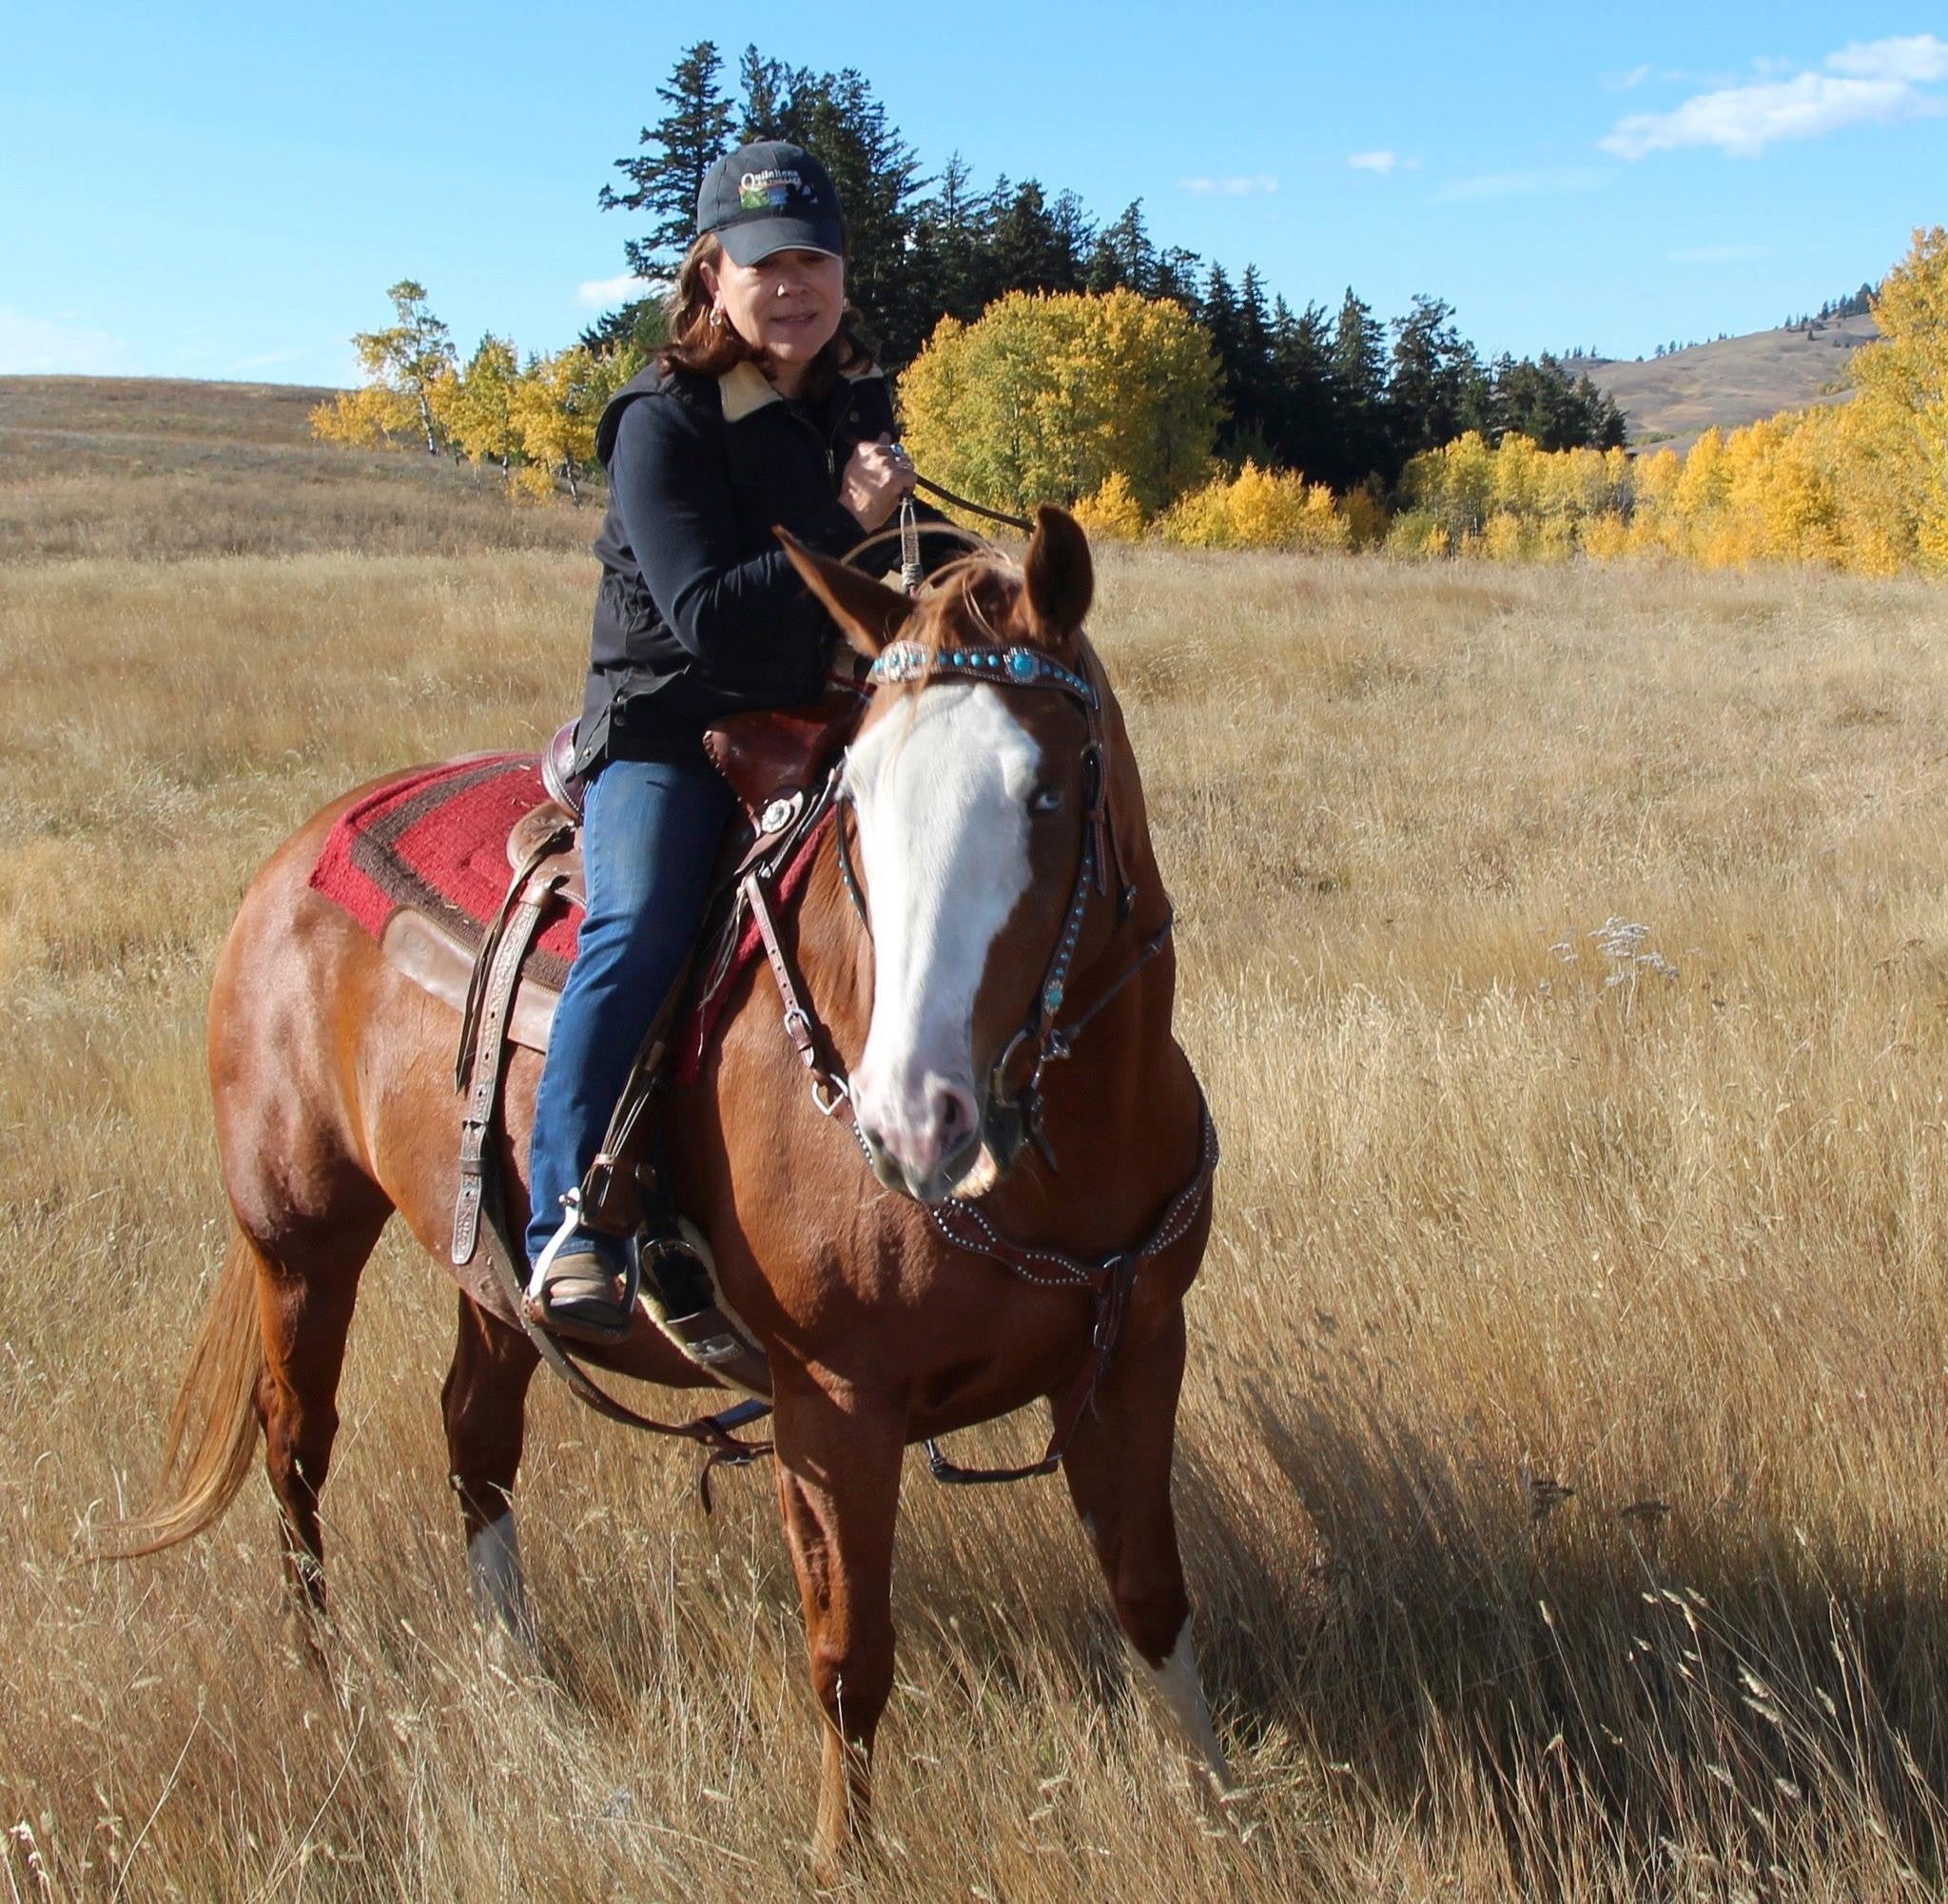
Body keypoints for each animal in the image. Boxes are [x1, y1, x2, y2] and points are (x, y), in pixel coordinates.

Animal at [129, 506, 1231, 1869]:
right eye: (857, 805)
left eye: (1047, 789)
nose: (910, 1119)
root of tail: (298, 848)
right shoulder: (830, 1407)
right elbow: (848, 1661)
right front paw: (840, 1863)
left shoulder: (1134, 1350)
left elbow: (1152, 1599)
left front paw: (1225, 1817)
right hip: (298, 1239)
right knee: (296, 1441)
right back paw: (321, 1673)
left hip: (489, 1278)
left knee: (474, 1435)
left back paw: (522, 1678)